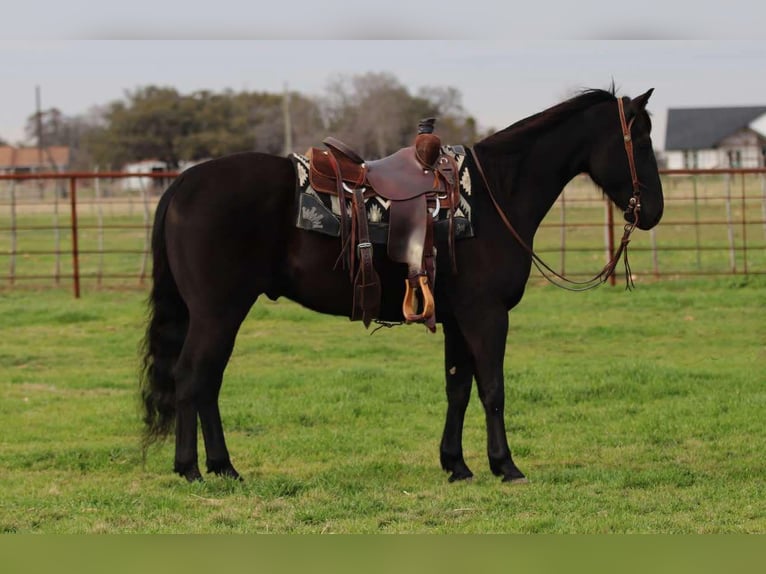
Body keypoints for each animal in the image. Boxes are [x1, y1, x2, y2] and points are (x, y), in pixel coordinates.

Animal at [140, 87, 664, 483]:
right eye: (639, 141)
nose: (654, 212)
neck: (494, 194)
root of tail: (182, 184)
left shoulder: (458, 319)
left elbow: (458, 387)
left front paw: (457, 465)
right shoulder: (487, 315)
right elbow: (493, 389)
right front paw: (506, 466)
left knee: (207, 381)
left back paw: (222, 467)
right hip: (218, 311)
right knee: (192, 377)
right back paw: (192, 469)